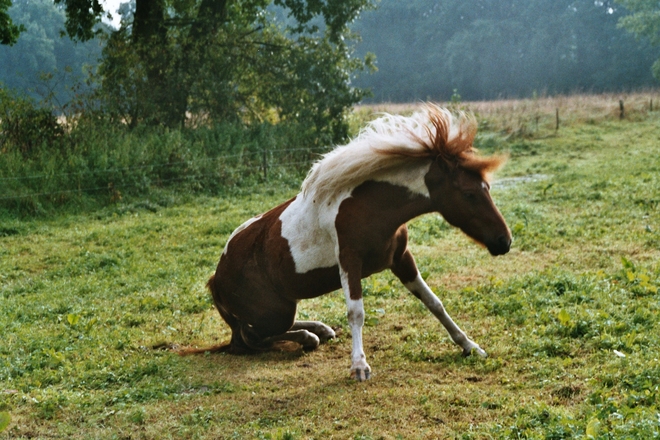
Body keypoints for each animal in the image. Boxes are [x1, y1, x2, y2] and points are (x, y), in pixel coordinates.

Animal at [191, 105, 510, 380]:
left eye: (487, 187)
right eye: (469, 193)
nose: (504, 241)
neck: (369, 205)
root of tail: (216, 278)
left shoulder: (401, 258)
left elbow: (434, 303)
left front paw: (470, 346)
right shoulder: (349, 261)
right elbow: (356, 313)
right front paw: (359, 367)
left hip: (283, 308)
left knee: (258, 334)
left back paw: (319, 329)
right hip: (274, 313)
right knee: (251, 338)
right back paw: (308, 337)